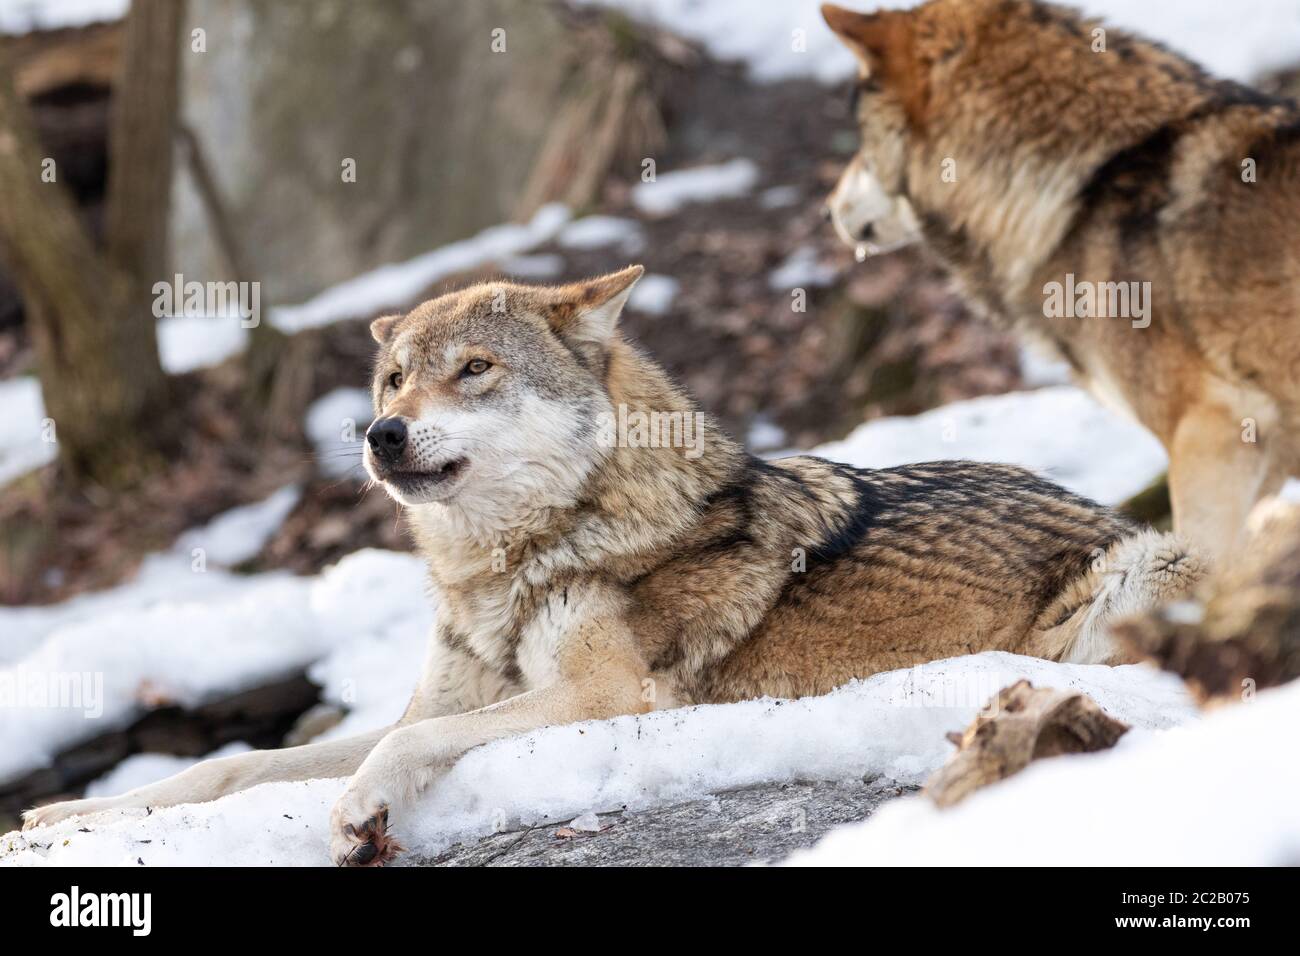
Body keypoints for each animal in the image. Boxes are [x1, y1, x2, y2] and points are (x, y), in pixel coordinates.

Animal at [22, 265, 1196, 863]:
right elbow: (233, 767)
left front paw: (359, 809)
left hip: (1140, 571)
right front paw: (73, 815)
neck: (508, 566)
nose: (379, 433)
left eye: (473, 370)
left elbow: (411, 745)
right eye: (396, 378)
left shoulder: (606, 696)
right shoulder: (443, 695)